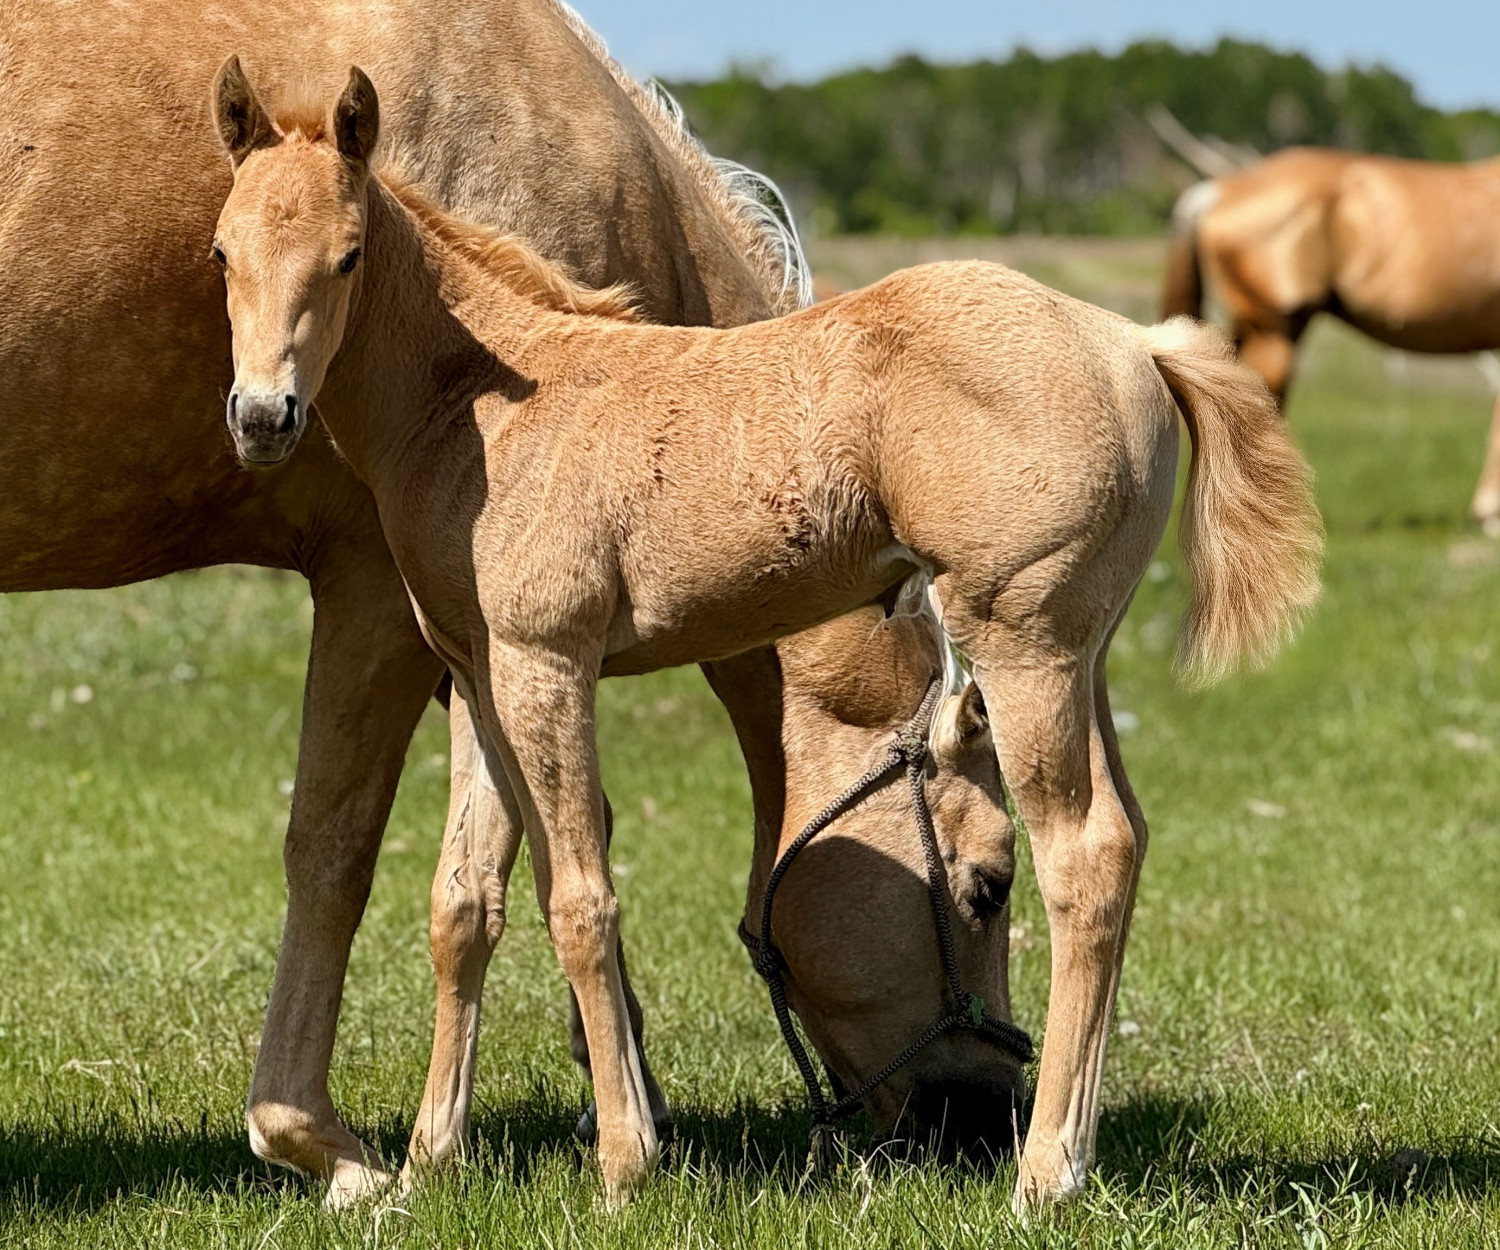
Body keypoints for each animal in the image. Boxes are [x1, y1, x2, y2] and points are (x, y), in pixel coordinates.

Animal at [0, 0, 1012, 1205]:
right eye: (990, 885)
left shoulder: (489, 647)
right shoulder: (393, 604)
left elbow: (492, 880)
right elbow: (345, 850)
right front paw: (324, 1142)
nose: (985, 1125)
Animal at [208, 63, 1323, 1208]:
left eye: (348, 255)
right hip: (1082, 654)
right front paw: (430, 1161)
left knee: (1087, 853)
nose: (263, 417)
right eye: (221, 253)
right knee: (1129, 836)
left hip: (1028, 646)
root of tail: (1134, 340)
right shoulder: (478, 675)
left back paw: (1047, 1172)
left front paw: (625, 1162)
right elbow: (467, 903)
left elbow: (581, 900)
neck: (489, 401)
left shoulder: (547, 662)